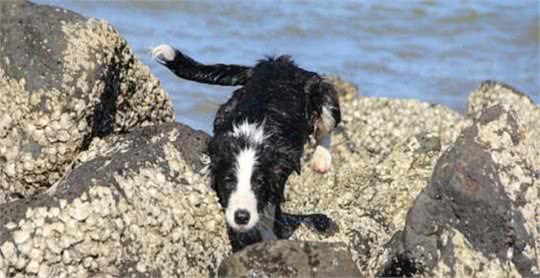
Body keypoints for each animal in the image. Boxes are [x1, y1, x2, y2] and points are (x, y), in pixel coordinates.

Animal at [151, 44, 342, 251]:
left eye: (258, 182)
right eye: (228, 181)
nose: (241, 217)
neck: (249, 139)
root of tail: (275, 63)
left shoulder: (278, 170)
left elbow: (269, 206)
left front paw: (268, 237)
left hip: (321, 92)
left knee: (326, 127)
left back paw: (321, 161)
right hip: (226, 107)